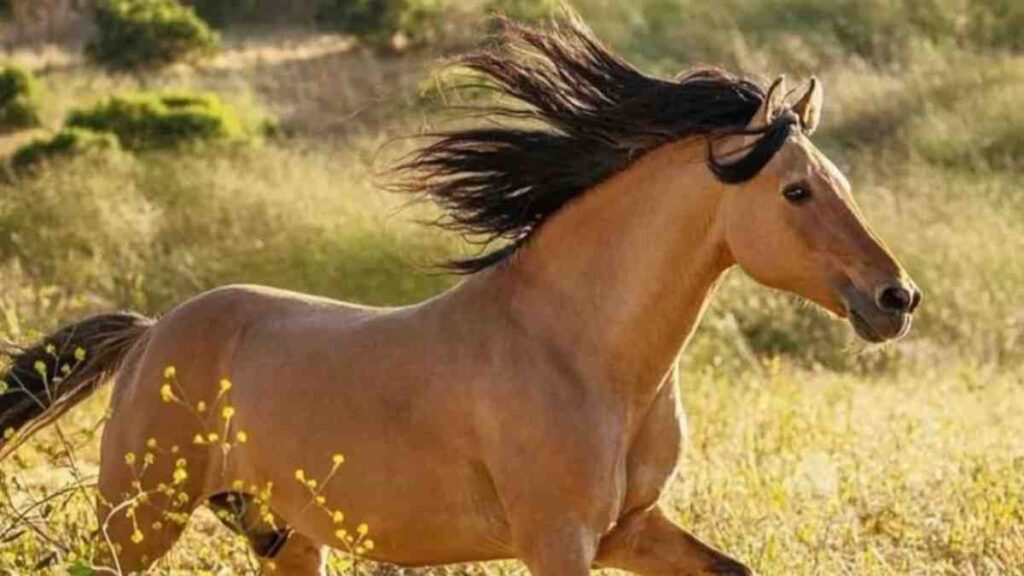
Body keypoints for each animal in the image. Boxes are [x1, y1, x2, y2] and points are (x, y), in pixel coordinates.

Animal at [0, 16, 920, 576]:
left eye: (839, 182)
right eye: (796, 192)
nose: (896, 297)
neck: (586, 351)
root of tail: (154, 331)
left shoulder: (630, 530)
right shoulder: (556, 541)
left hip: (282, 535)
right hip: (140, 519)